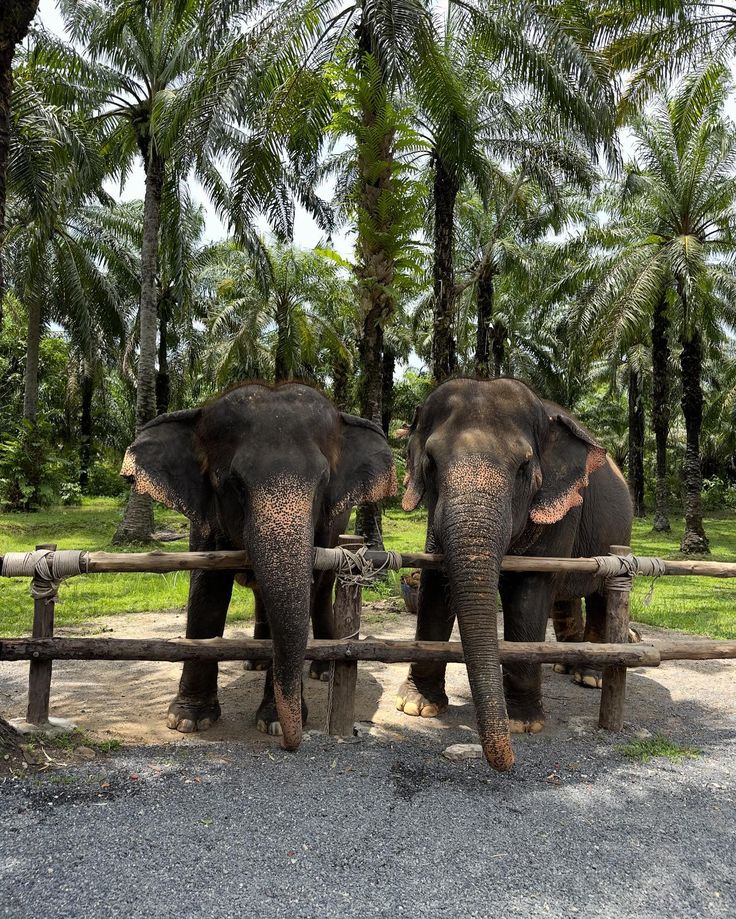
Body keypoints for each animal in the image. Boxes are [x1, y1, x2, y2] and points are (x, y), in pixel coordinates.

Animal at [121, 380, 396, 748]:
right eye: (235, 483)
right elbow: (207, 593)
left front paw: (274, 723)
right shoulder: (205, 520)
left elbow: (305, 588)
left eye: (322, 483)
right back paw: (254, 662)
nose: (293, 744)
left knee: (322, 590)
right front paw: (187, 720)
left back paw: (322, 671)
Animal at [396, 378, 632, 772]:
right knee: (566, 599)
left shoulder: (560, 509)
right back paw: (563, 667)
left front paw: (522, 724)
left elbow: (528, 592)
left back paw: (589, 677)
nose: (507, 762)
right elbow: (435, 586)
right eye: (430, 462)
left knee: (599, 596)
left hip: (617, 535)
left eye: (523, 467)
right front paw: (417, 706)